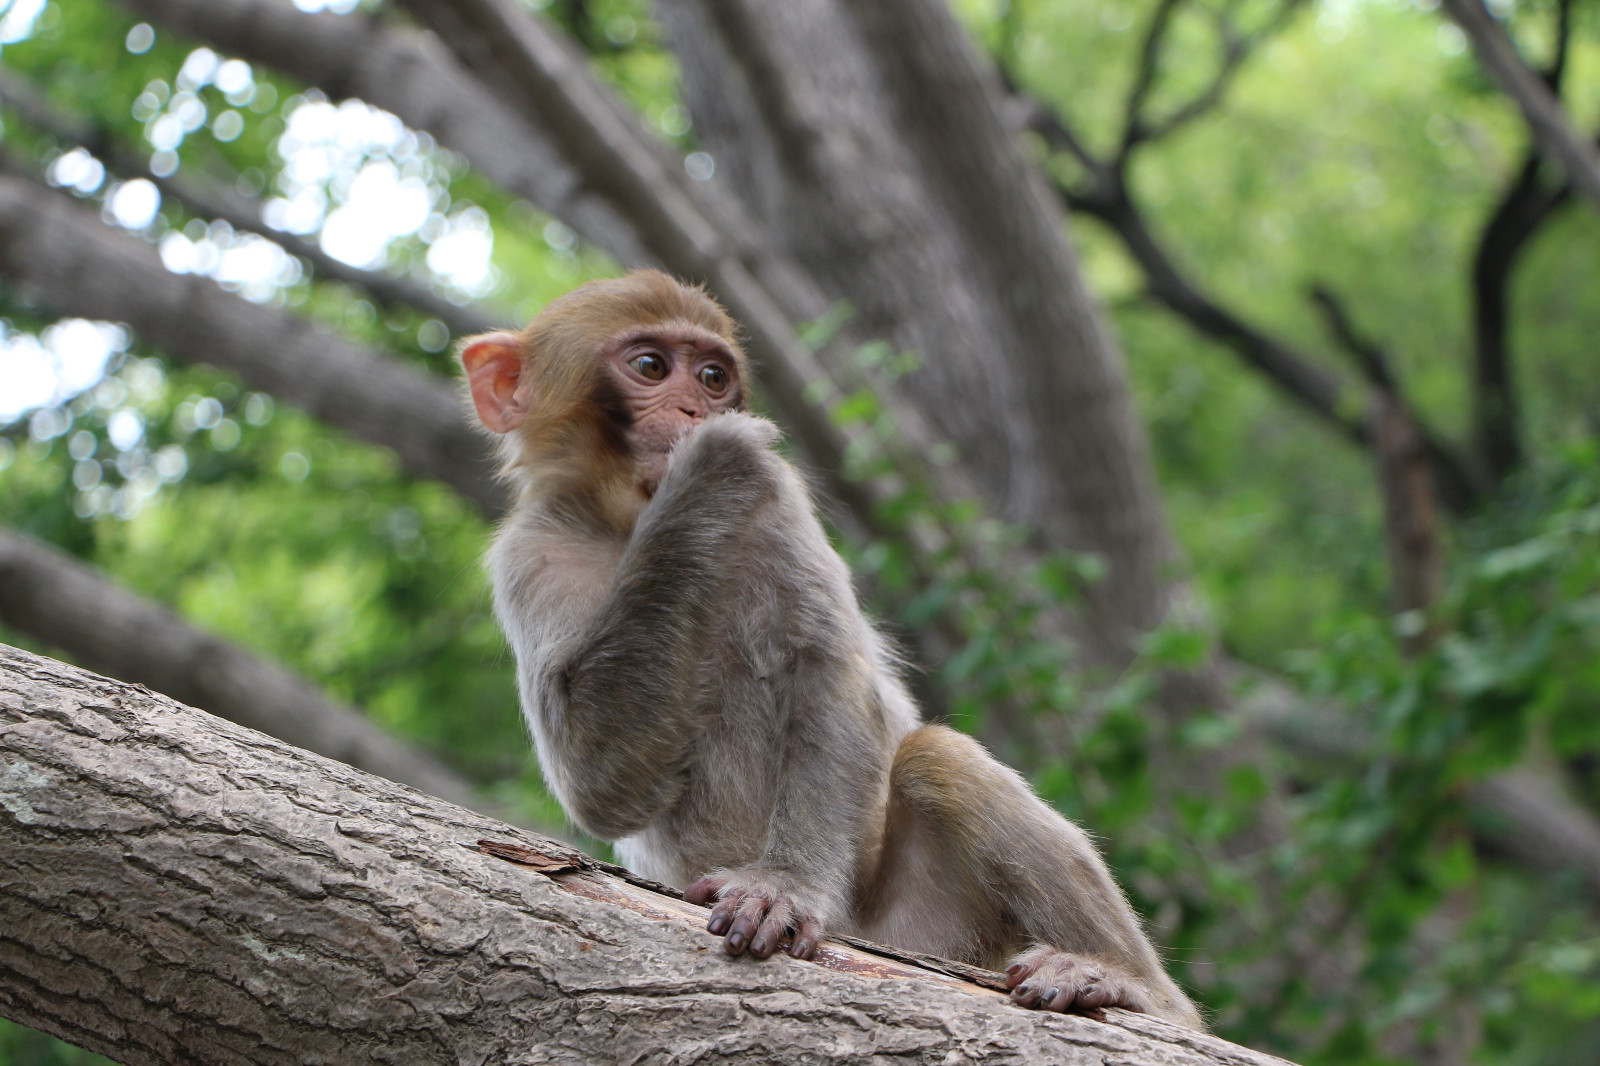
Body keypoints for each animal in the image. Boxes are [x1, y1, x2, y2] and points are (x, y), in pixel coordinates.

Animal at [460, 270, 1203, 1024]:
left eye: (712, 376)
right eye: (650, 366)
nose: (697, 409)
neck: (627, 522)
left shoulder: (782, 502)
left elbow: (828, 678)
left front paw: (783, 887)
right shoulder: (528, 554)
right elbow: (597, 785)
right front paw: (714, 463)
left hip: (927, 926)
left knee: (938, 757)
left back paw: (1128, 985)